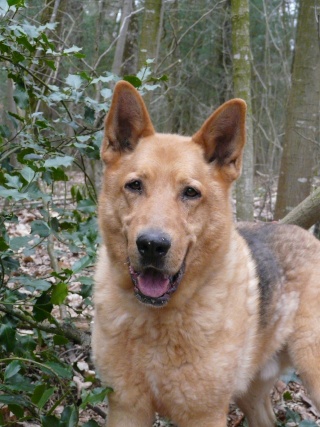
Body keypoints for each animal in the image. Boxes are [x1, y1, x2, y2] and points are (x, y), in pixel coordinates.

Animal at [92, 81, 320, 427]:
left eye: (190, 193)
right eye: (135, 186)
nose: (152, 245)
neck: (157, 322)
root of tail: (310, 237)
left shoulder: (204, 415)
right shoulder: (126, 408)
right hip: (251, 391)